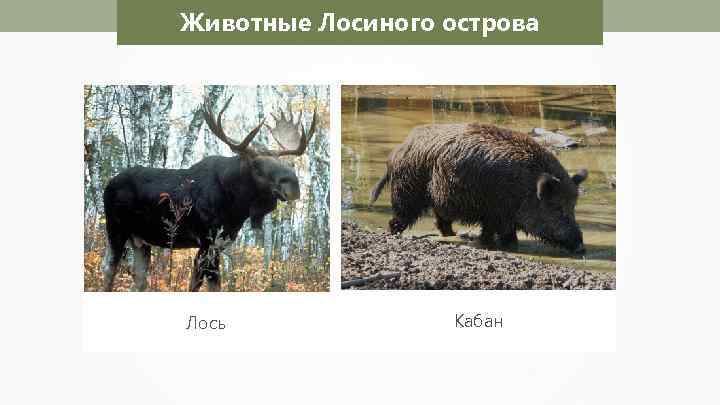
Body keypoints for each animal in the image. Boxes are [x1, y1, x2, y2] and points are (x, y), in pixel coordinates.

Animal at [101, 96, 317, 292]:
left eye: (281, 161)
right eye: (255, 166)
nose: (293, 184)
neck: (236, 208)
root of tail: (108, 184)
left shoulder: (219, 243)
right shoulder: (207, 241)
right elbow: (207, 285)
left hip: (140, 240)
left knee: (139, 280)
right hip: (116, 229)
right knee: (109, 269)